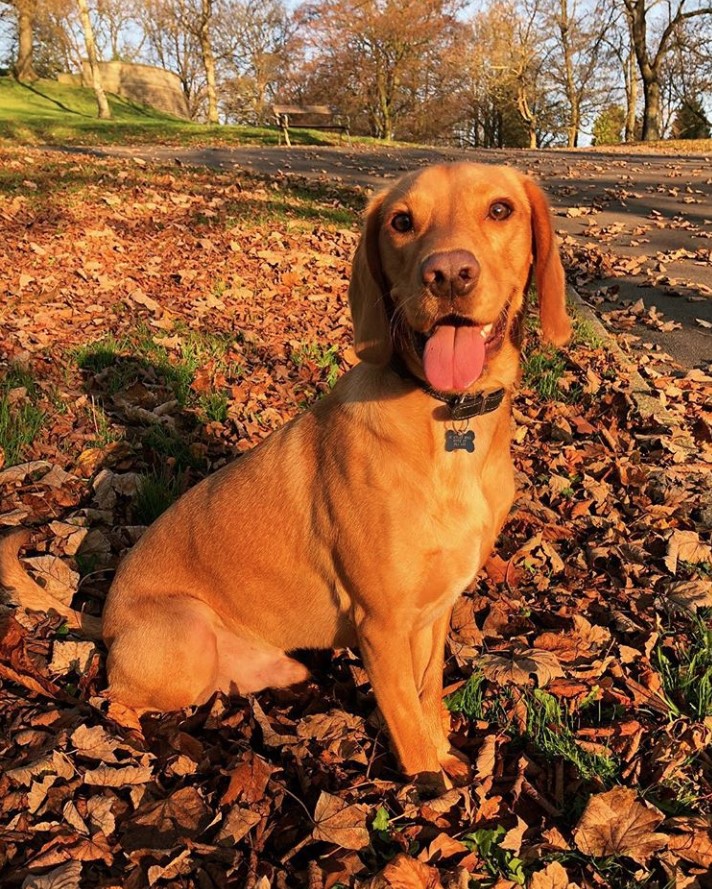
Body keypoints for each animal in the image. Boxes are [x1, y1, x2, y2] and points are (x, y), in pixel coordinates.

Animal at [0, 163, 568, 788]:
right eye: (401, 222)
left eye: (500, 210)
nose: (446, 275)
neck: (448, 418)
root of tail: (103, 622)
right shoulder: (382, 625)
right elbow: (407, 722)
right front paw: (432, 788)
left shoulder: (435, 611)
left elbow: (428, 697)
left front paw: (444, 750)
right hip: (188, 636)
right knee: (115, 698)